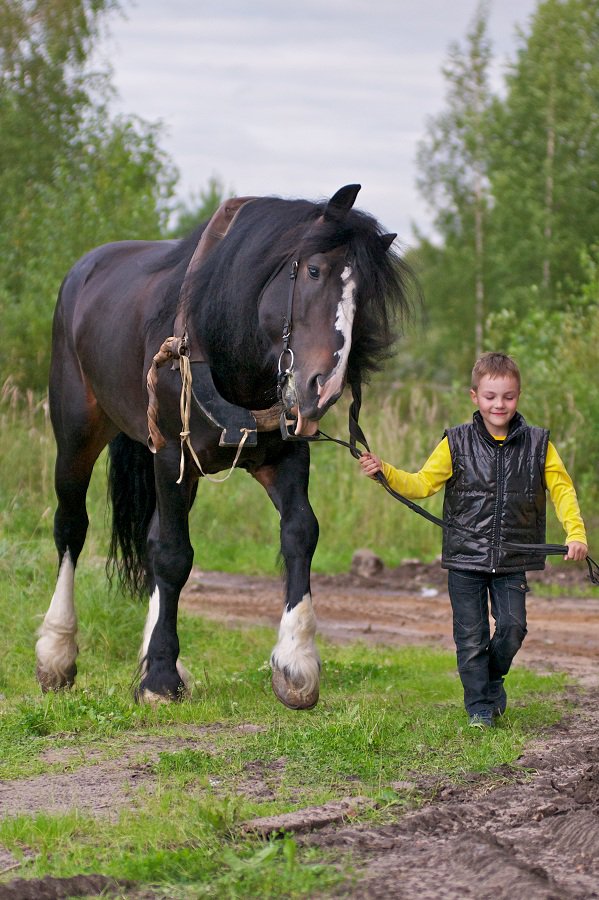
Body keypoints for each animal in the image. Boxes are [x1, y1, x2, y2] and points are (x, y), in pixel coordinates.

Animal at [36, 185, 412, 712]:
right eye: (314, 271)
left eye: (365, 295)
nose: (324, 388)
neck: (227, 344)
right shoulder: (171, 453)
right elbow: (174, 555)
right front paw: (159, 680)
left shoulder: (282, 456)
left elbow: (300, 533)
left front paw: (295, 662)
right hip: (77, 433)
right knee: (72, 526)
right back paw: (57, 654)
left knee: (150, 535)